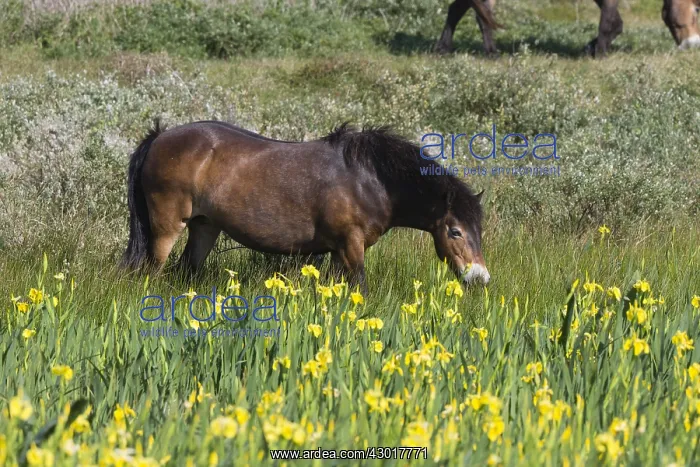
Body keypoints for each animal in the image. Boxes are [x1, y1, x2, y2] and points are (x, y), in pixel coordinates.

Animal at [121, 120, 490, 293]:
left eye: (478, 231)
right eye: (455, 231)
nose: (480, 278)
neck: (369, 179)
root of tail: (159, 137)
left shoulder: (339, 250)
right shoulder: (351, 245)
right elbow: (361, 287)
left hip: (204, 226)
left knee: (186, 270)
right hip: (167, 227)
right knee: (152, 270)